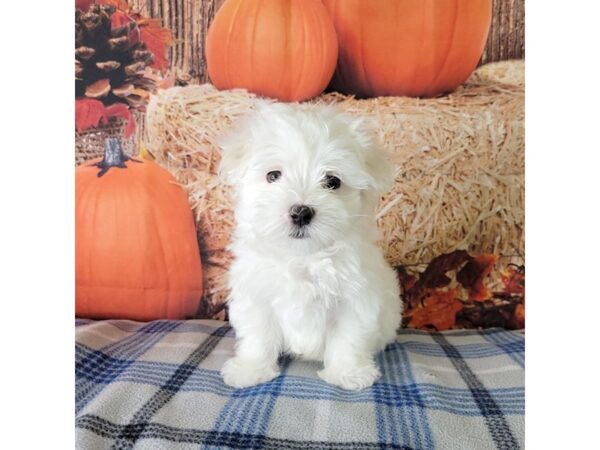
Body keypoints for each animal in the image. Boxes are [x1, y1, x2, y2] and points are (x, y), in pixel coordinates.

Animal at [218, 101, 400, 390]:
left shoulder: (355, 298)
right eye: (273, 175)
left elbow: (349, 336)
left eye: (332, 181)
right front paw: (251, 369)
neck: (303, 257)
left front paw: (348, 372)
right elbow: (258, 334)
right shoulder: (256, 294)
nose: (301, 212)